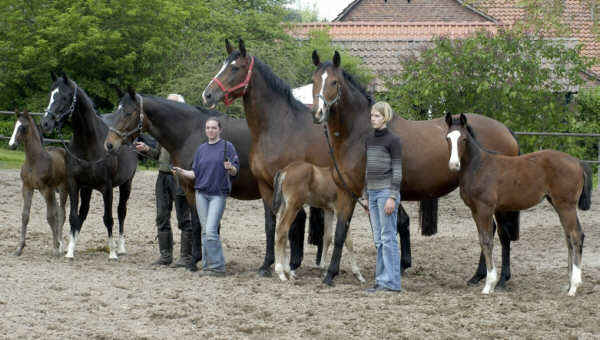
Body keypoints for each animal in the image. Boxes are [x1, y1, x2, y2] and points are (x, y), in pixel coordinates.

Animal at [8, 110, 68, 256]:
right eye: (15, 125)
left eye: (23, 127)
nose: (11, 145)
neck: (34, 161)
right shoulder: (27, 187)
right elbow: (25, 215)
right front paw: (19, 248)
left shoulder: (46, 189)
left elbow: (50, 216)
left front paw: (55, 249)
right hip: (52, 190)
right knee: (57, 211)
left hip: (63, 189)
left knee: (61, 213)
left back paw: (61, 245)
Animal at [40, 73, 137, 260]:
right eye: (50, 94)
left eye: (64, 97)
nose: (46, 123)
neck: (89, 142)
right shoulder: (75, 183)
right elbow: (73, 216)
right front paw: (70, 251)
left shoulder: (107, 187)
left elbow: (108, 218)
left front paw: (112, 253)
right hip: (87, 188)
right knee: (83, 212)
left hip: (126, 184)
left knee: (121, 212)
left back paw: (121, 247)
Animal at [102, 86, 324, 272]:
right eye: (117, 110)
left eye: (128, 112)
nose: (109, 144)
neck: (190, 131)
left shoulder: (193, 188)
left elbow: (198, 223)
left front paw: (194, 261)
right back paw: (295, 262)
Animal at [199, 39, 414, 278]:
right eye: (223, 64)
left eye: (235, 68)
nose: (207, 95)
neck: (278, 127)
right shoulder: (266, 186)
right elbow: (270, 225)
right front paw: (266, 265)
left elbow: (292, 225)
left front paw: (290, 265)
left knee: (399, 220)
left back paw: (400, 266)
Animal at [446, 113, 592, 294]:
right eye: (447, 138)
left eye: (464, 139)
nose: (454, 165)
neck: (479, 167)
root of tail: (578, 162)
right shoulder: (475, 210)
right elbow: (482, 239)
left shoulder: (485, 208)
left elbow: (487, 241)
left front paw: (489, 284)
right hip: (559, 204)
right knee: (569, 237)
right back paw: (568, 283)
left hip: (566, 205)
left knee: (575, 235)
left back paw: (574, 287)